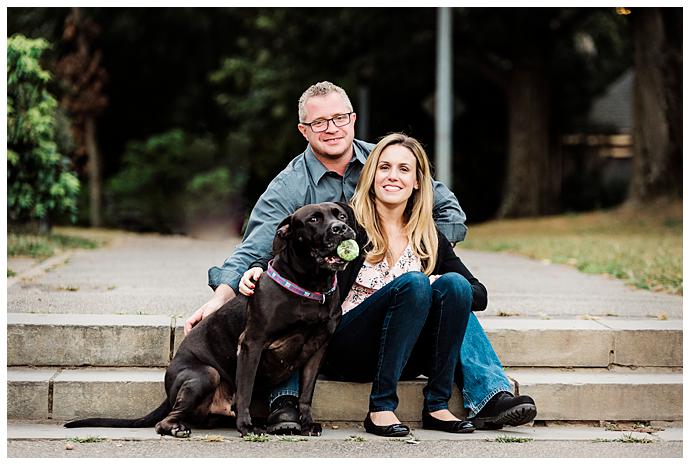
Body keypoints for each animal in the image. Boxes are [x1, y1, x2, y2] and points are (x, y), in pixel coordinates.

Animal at [63, 202, 354, 436]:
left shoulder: (317, 349)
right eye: (313, 219)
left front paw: (307, 423)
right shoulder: (251, 343)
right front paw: (246, 427)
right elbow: (245, 389)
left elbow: (306, 393)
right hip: (206, 374)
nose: (341, 228)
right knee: (165, 420)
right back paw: (178, 428)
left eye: (341, 215)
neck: (311, 286)